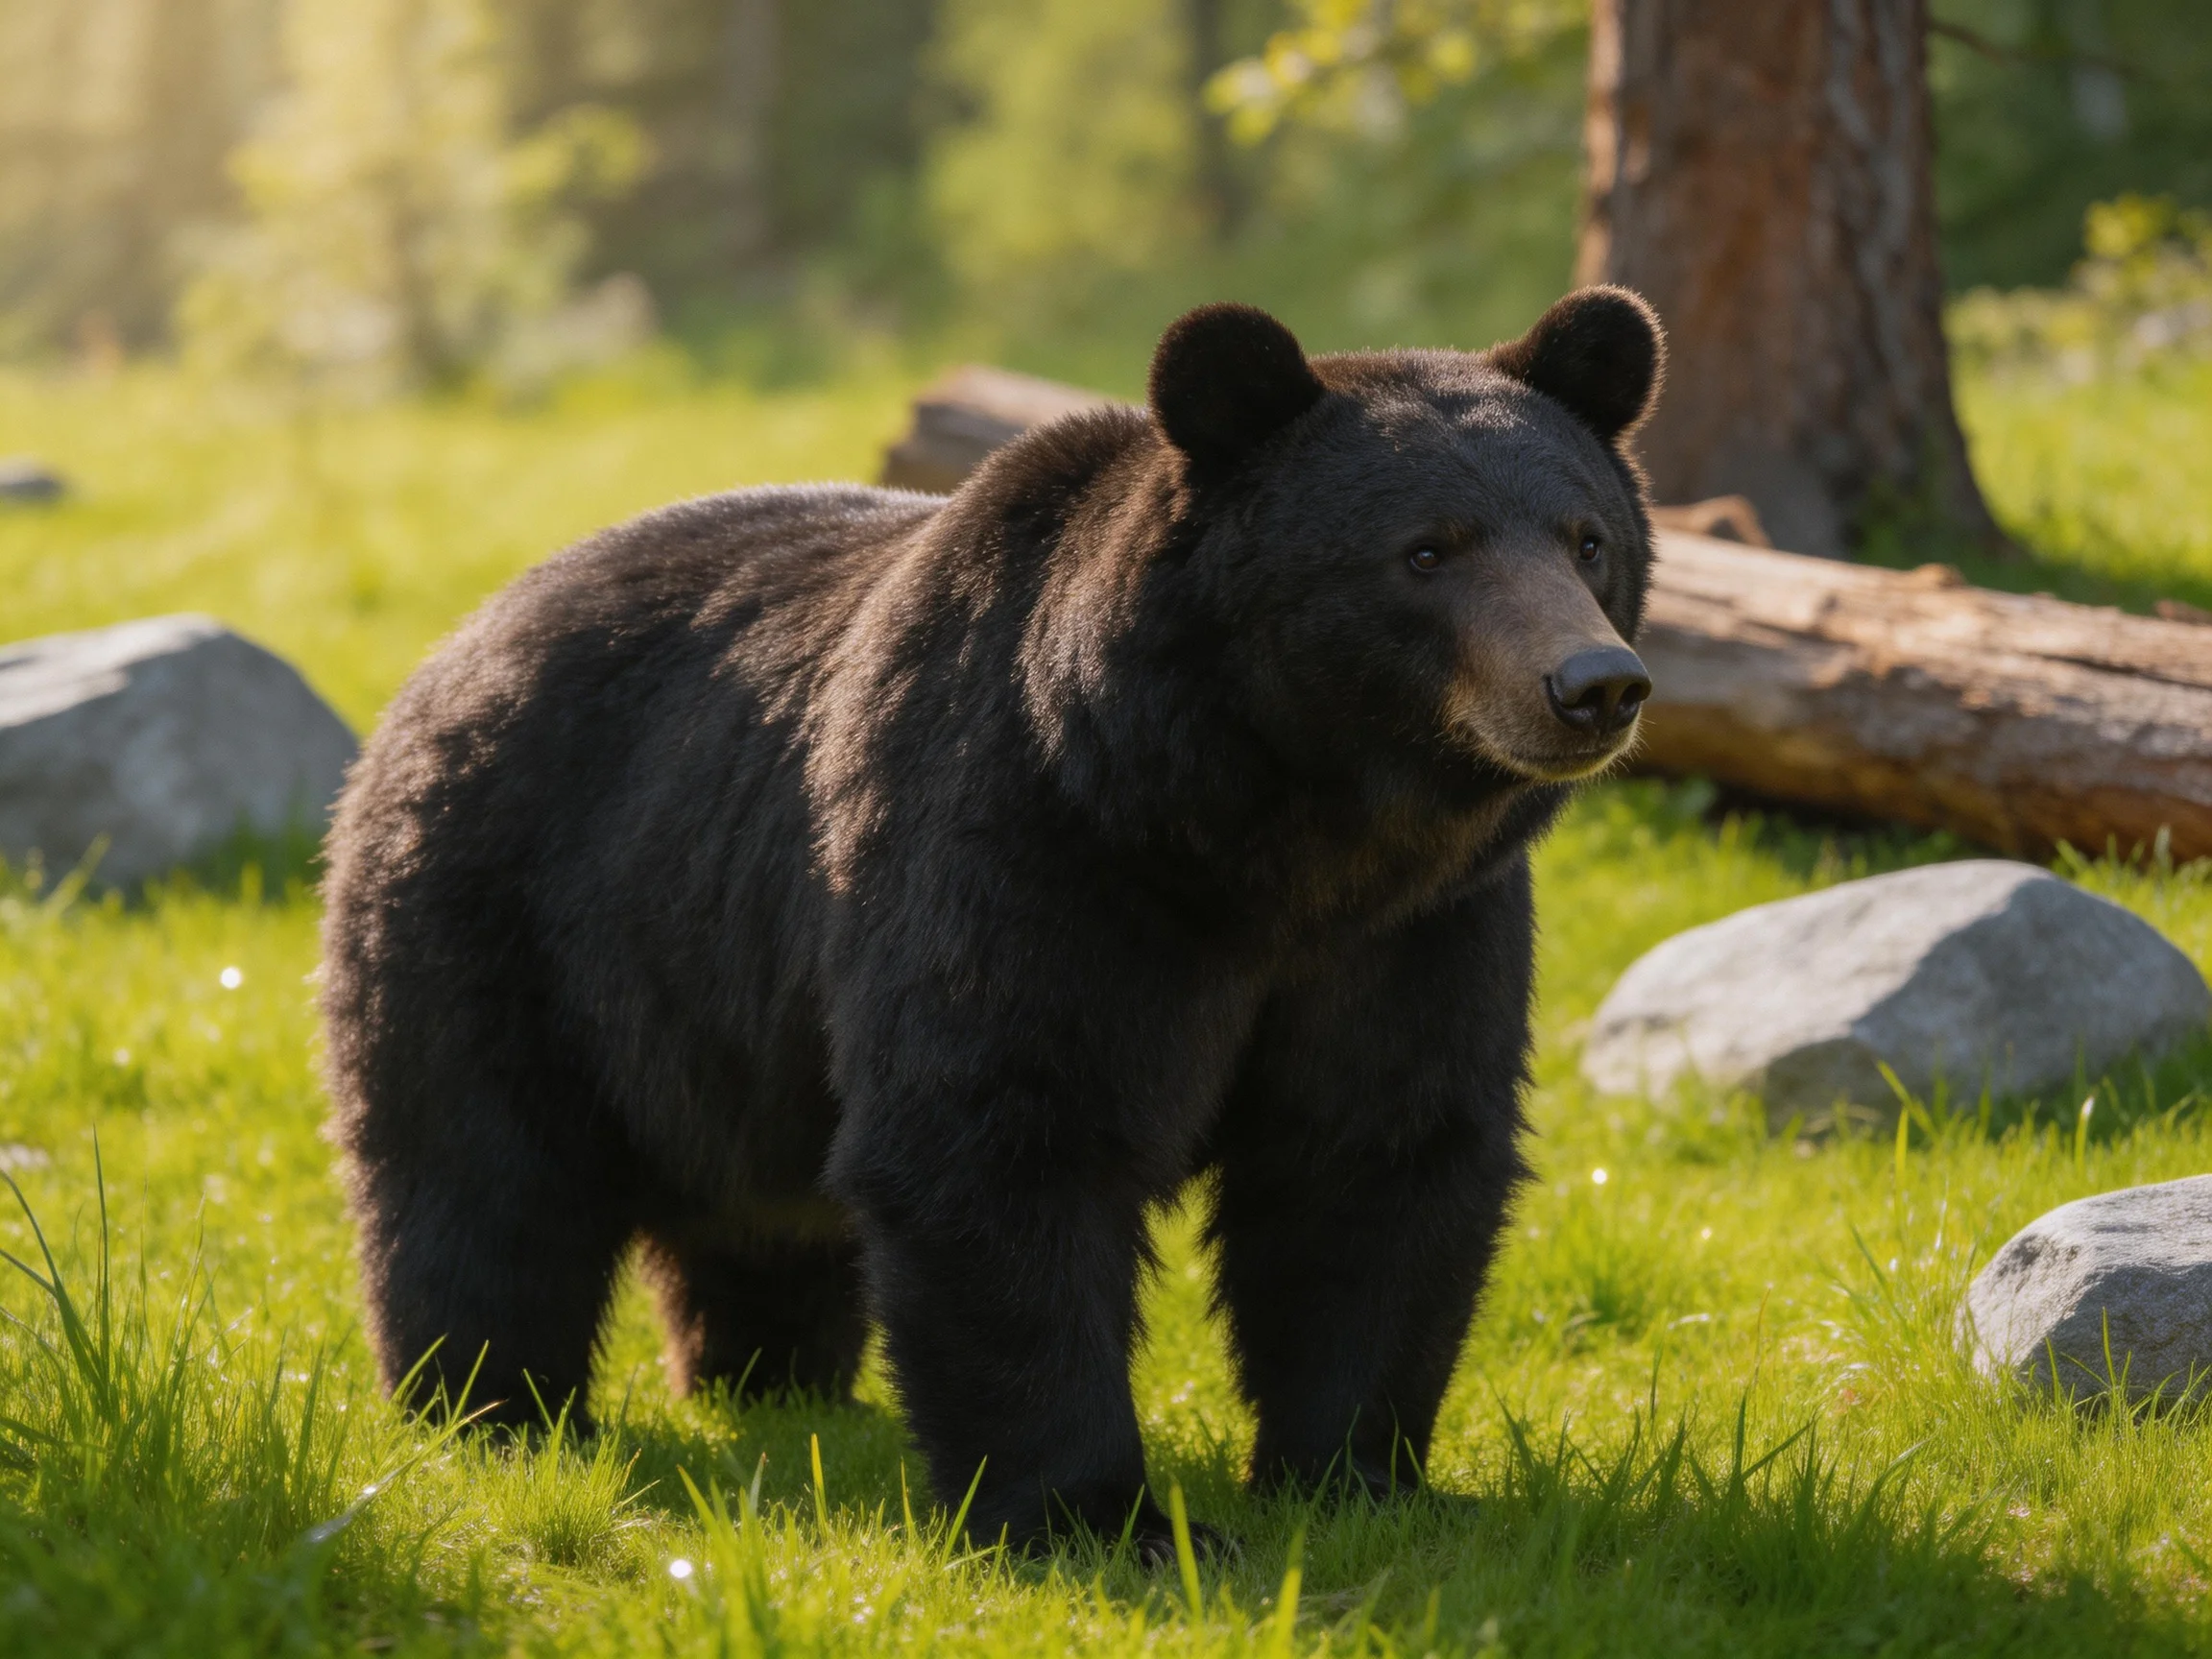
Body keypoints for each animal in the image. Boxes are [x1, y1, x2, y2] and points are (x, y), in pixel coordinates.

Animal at [317, 286, 1664, 1558]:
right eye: (1427, 551)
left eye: (1588, 539)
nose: (1594, 685)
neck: (1263, 824)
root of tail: (460, 640)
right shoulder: (1029, 850)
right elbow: (1002, 1134)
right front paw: (1105, 1520)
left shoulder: (1414, 931)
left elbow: (1378, 1158)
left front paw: (1357, 1478)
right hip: (511, 905)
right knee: (482, 1172)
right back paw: (492, 1407)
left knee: (762, 1219)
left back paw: (774, 1386)